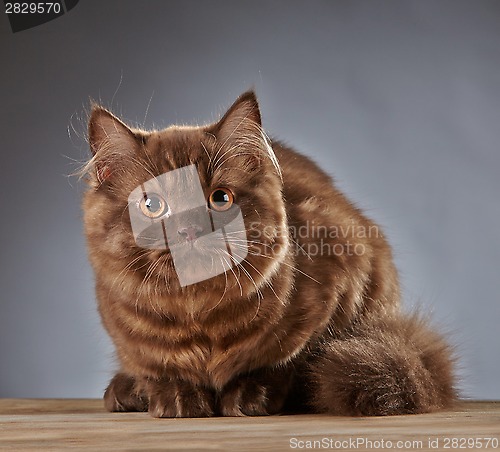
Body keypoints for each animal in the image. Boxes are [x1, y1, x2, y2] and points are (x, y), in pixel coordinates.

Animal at [82, 91, 458, 416]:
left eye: (220, 198)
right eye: (153, 206)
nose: (190, 230)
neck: (199, 313)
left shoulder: (343, 272)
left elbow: (288, 361)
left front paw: (249, 394)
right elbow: (153, 365)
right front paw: (176, 395)